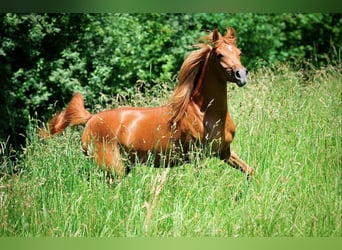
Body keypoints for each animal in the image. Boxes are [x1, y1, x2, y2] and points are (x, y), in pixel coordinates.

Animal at [42, 27, 254, 178]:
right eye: (219, 55)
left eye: (239, 52)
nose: (241, 75)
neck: (204, 113)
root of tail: (91, 119)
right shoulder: (197, 157)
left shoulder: (225, 152)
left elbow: (250, 171)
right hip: (113, 168)